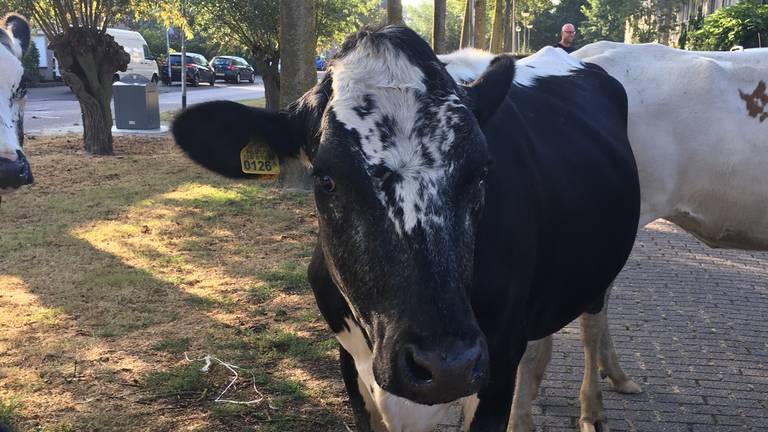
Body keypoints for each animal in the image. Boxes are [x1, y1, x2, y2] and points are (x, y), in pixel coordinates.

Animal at [171, 27, 640, 432]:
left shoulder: (498, 356)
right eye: (326, 179)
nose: (446, 365)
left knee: (591, 325)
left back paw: (594, 407)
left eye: (480, 172)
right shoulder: (352, 362)